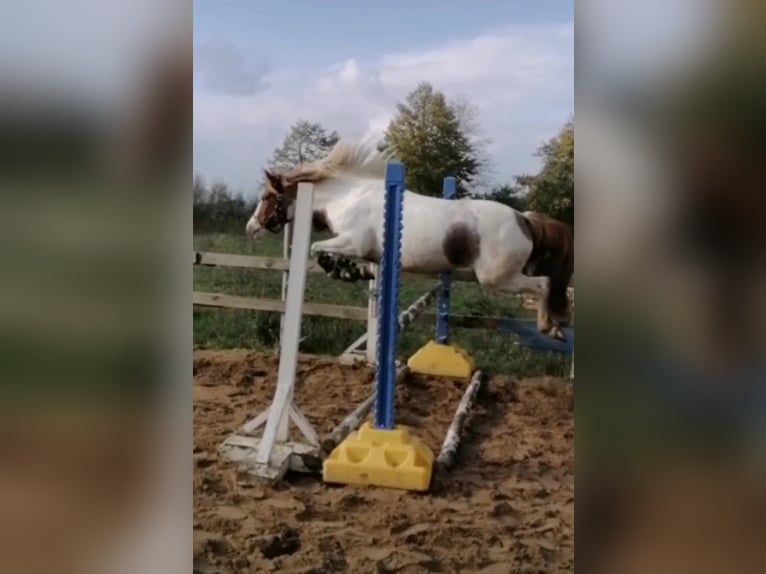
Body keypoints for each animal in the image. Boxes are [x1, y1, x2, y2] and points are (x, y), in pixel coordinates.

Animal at [246, 138, 574, 340]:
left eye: (266, 197)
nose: (251, 229)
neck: (348, 196)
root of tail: (524, 219)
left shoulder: (353, 241)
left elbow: (317, 248)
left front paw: (341, 270)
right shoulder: (372, 254)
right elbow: (363, 267)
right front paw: (353, 272)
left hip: (497, 277)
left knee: (543, 284)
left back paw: (549, 327)